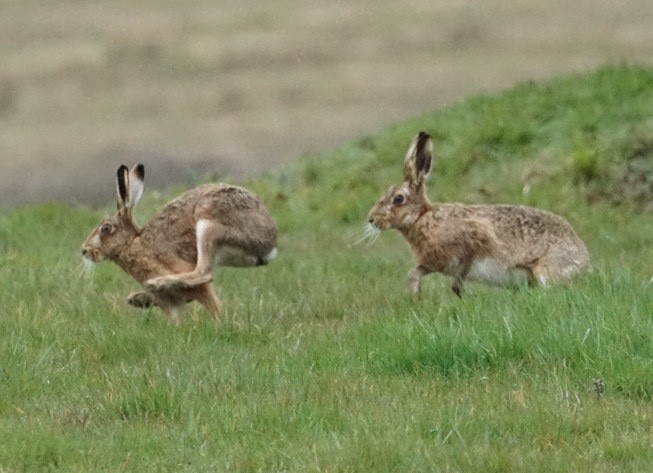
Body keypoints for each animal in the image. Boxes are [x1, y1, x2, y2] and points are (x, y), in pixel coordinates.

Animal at [82, 164, 278, 324]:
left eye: (106, 229)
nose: (84, 250)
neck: (132, 243)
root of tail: (271, 244)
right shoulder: (169, 302)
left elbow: (211, 303)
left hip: (208, 223)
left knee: (204, 272)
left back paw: (157, 282)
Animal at [366, 131, 590, 297]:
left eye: (398, 199)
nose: (371, 219)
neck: (422, 218)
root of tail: (585, 261)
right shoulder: (433, 261)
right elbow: (415, 272)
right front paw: (416, 295)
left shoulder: (473, 239)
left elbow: (459, 272)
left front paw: (452, 294)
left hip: (546, 268)